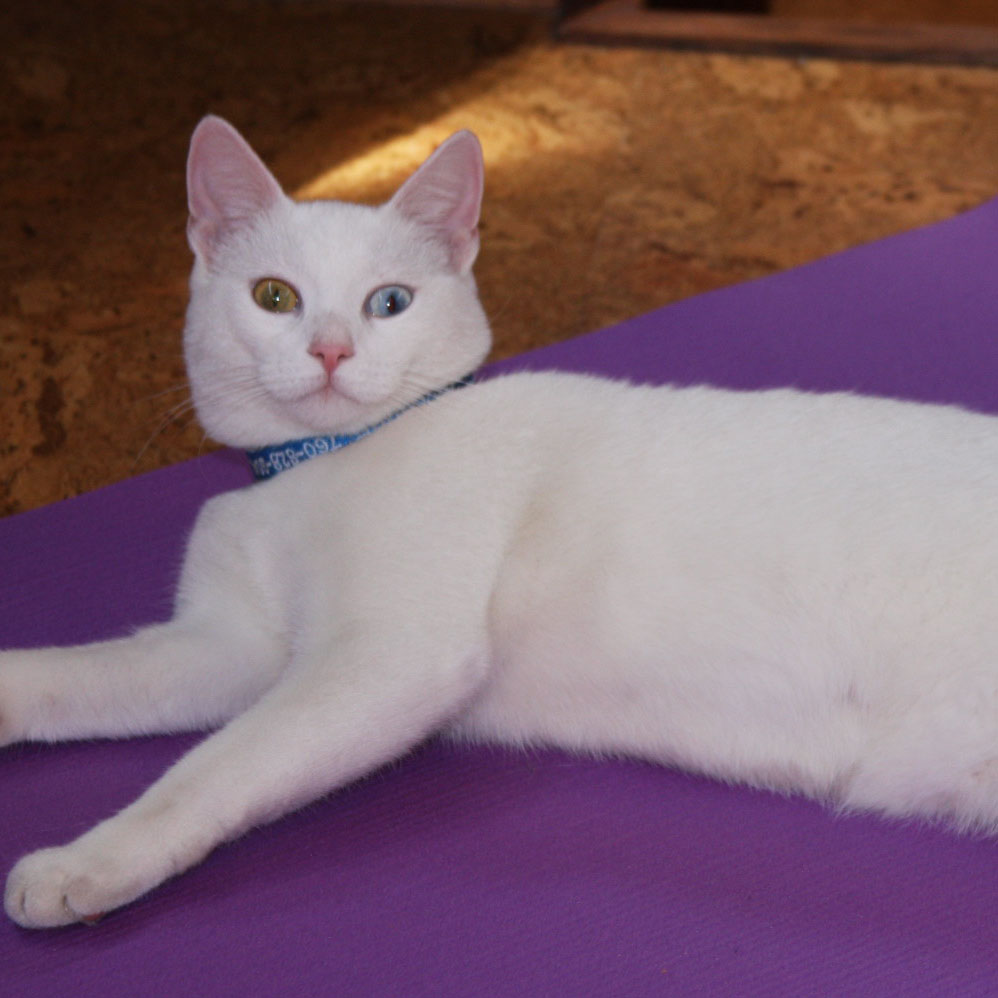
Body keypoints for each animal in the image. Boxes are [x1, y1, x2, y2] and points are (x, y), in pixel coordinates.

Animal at [1, 119, 998, 936]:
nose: (331, 350)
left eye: (390, 302)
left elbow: (213, 769)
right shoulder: (231, 646)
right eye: (275, 297)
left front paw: (88, 864)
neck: (311, 465)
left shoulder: (388, 657)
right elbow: (75, 679)